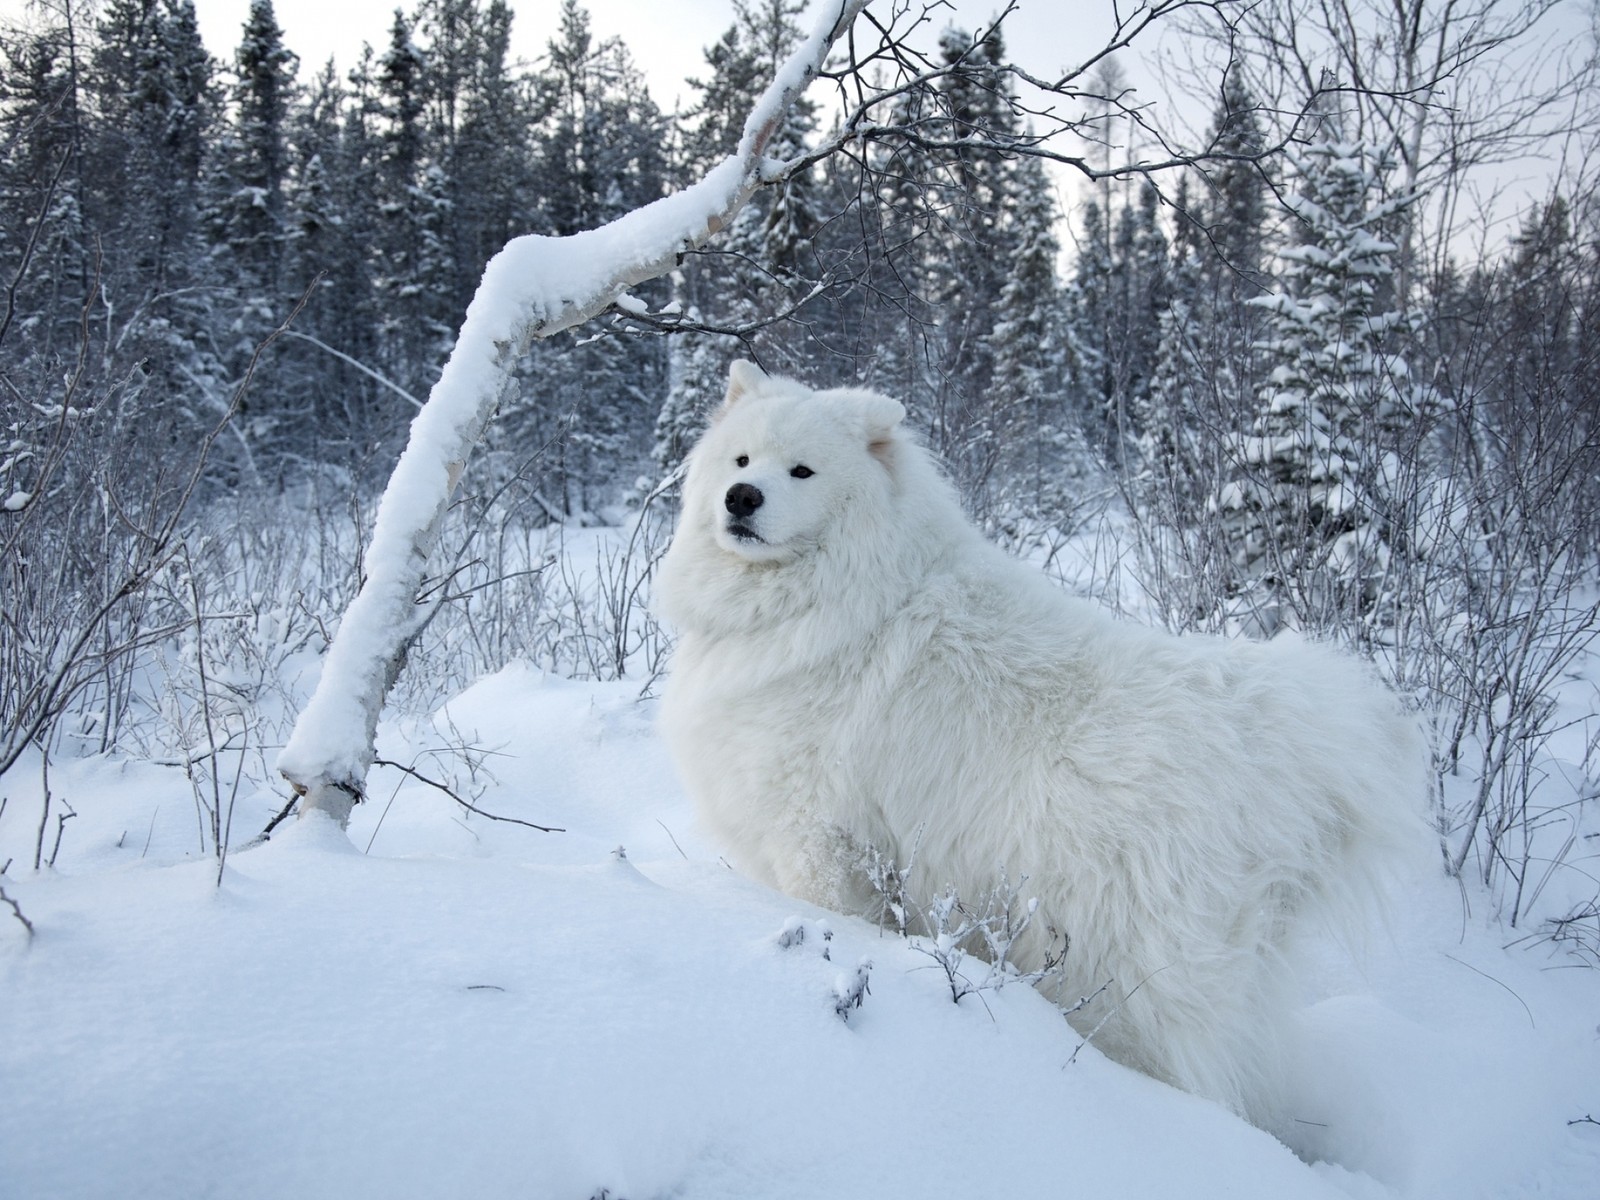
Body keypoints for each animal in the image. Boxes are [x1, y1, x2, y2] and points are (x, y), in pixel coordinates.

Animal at [652, 361, 1427, 1126]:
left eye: (803, 471)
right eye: (741, 460)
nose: (741, 498)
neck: (831, 596)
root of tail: (1266, 731)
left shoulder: (816, 837)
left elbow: (824, 918)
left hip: (1118, 966)